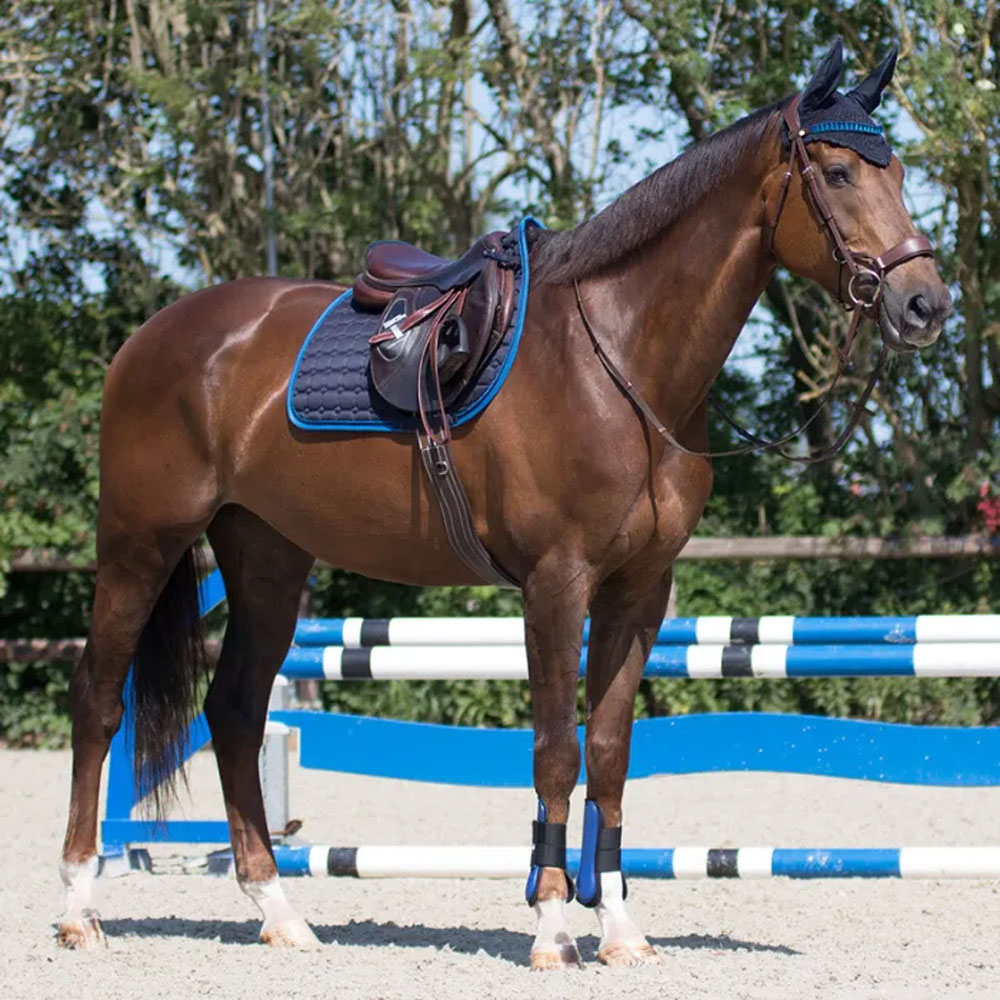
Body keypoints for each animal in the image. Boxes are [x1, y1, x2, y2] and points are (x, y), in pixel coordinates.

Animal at [57, 41, 951, 968]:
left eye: (899, 170)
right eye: (840, 171)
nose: (926, 303)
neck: (616, 359)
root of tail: (153, 336)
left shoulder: (638, 591)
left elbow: (610, 751)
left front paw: (620, 932)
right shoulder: (556, 584)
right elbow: (556, 752)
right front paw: (554, 929)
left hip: (266, 556)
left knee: (233, 711)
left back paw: (280, 913)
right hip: (142, 543)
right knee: (99, 698)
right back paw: (81, 907)